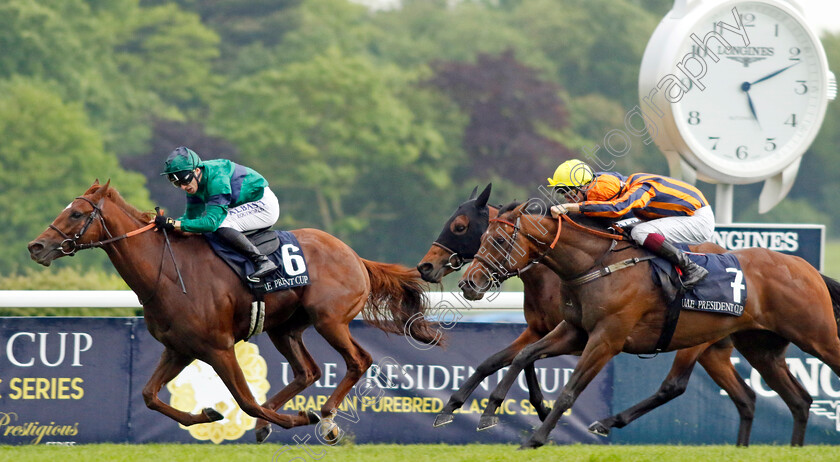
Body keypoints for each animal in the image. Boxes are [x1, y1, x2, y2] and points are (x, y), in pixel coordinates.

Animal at [26, 180, 440, 440]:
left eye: (76, 214)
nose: (36, 246)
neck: (166, 273)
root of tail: (354, 255)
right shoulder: (179, 349)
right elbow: (149, 395)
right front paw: (206, 414)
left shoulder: (219, 348)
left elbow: (247, 401)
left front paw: (296, 417)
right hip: (285, 328)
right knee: (308, 371)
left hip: (330, 320)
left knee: (359, 360)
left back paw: (324, 418)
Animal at [416, 185, 768, 444]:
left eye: (459, 227)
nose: (426, 267)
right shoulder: (541, 329)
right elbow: (498, 360)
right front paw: (451, 408)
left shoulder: (582, 336)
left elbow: (521, 363)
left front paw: (538, 413)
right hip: (713, 347)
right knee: (746, 396)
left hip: (693, 341)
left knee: (675, 385)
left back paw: (606, 423)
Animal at [460, 200, 840, 450]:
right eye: (481, 239)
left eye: (497, 240)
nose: (467, 283)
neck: (595, 264)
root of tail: (806, 267)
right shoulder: (574, 331)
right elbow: (523, 356)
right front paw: (488, 413)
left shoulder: (606, 339)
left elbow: (569, 391)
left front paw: (536, 439)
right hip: (761, 349)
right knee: (798, 400)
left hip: (815, 336)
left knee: (678, 386)